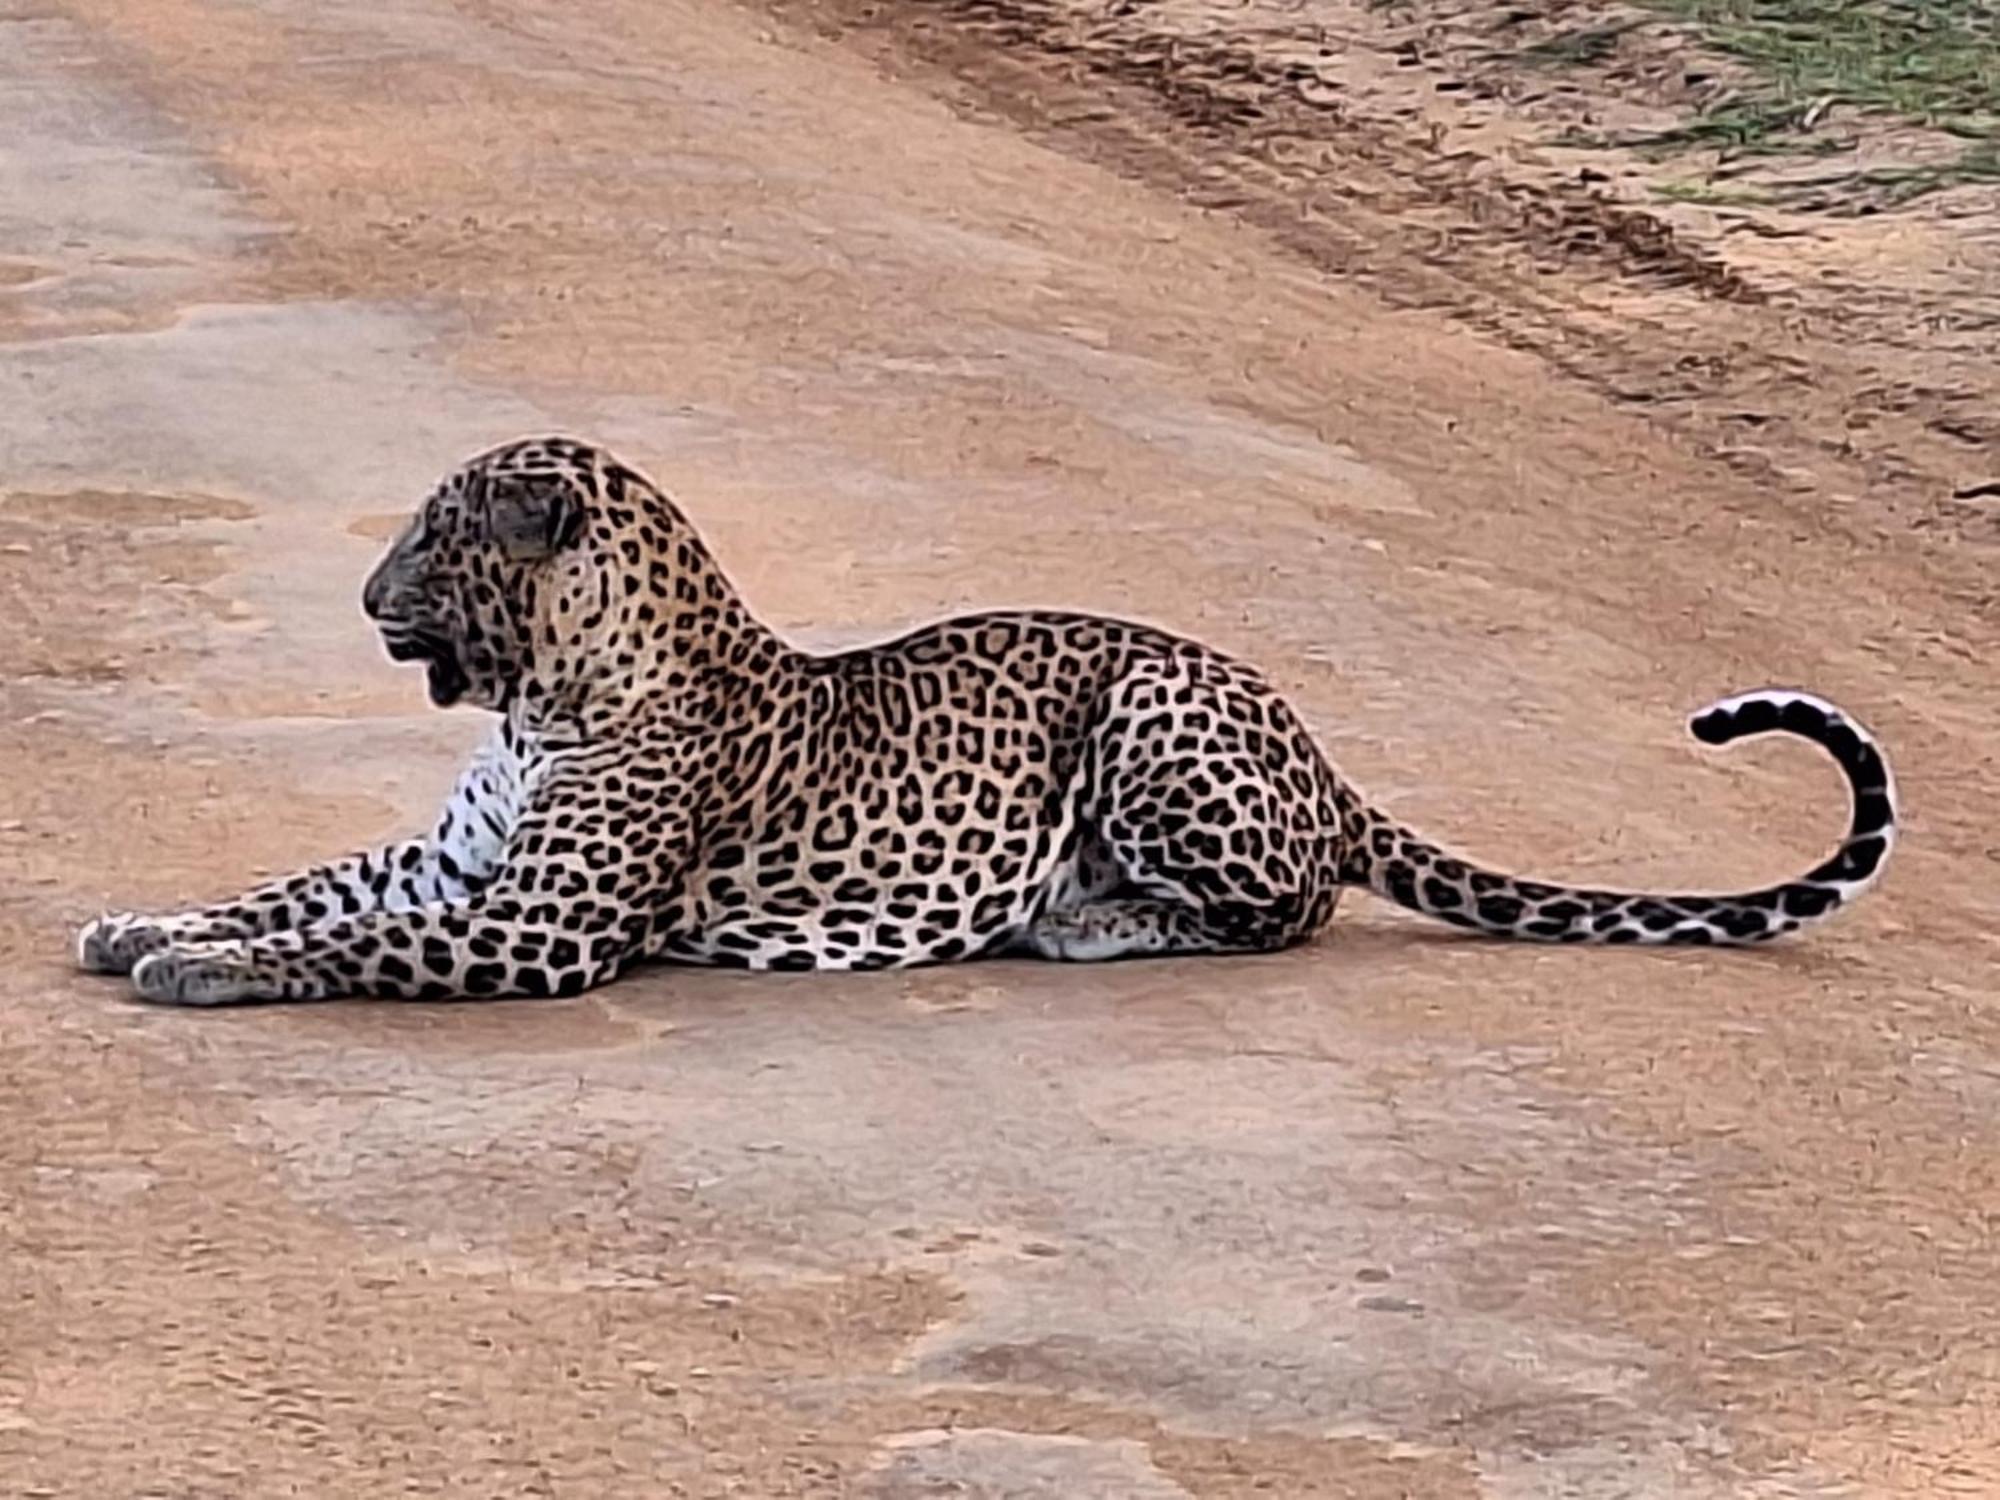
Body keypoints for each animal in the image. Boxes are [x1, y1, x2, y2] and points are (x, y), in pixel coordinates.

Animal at [74, 432, 1888, 1012]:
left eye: (434, 538)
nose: (359, 591)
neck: (546, 694)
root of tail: (1318, 743)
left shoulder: (532, 928)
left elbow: (338, 943)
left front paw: (202, 973)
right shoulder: (462, 875)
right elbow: (298, 886)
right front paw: (146, 922)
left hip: (1156, 720)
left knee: (1289, 909)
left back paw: (1080, 923)